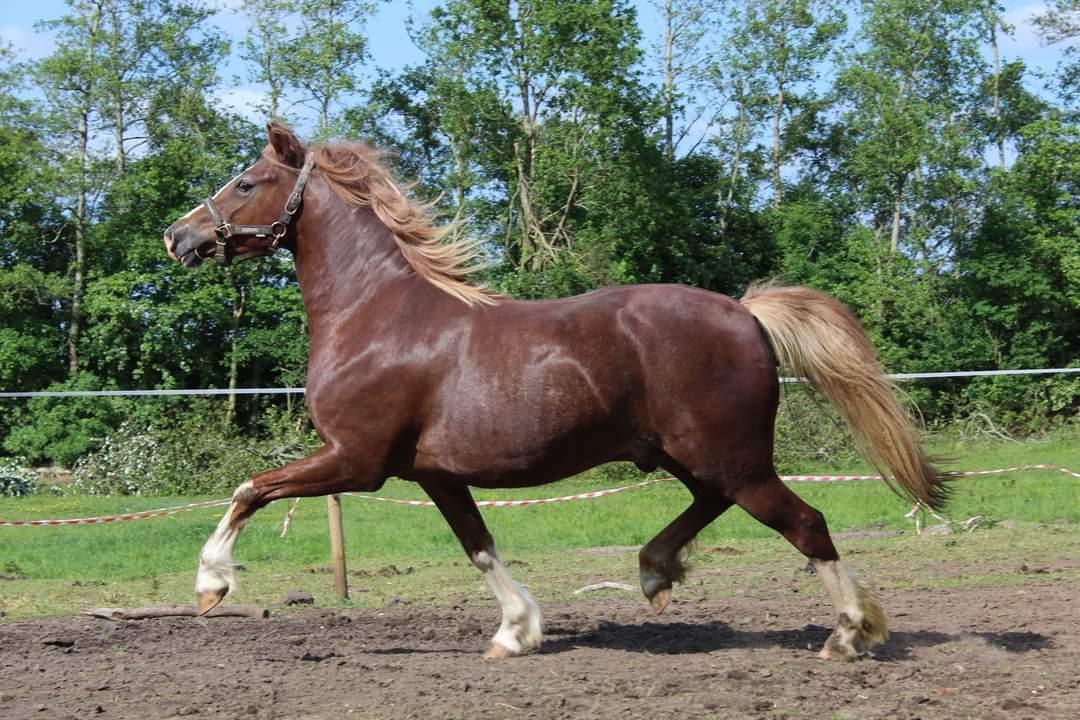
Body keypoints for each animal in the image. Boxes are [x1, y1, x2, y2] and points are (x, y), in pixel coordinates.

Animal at [164, 123, 948, 661]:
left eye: (246, 182)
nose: (178, 237)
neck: (377, 316)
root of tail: (746, 311)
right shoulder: (434, 474)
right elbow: (478, 546)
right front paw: (515, 632)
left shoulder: (356, 462)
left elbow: (250, 489)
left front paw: (209, 585)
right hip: (691, 454)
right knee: (714, 504)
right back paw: (655, 572)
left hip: (731, 456)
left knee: (806, 524)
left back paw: (848, 635)